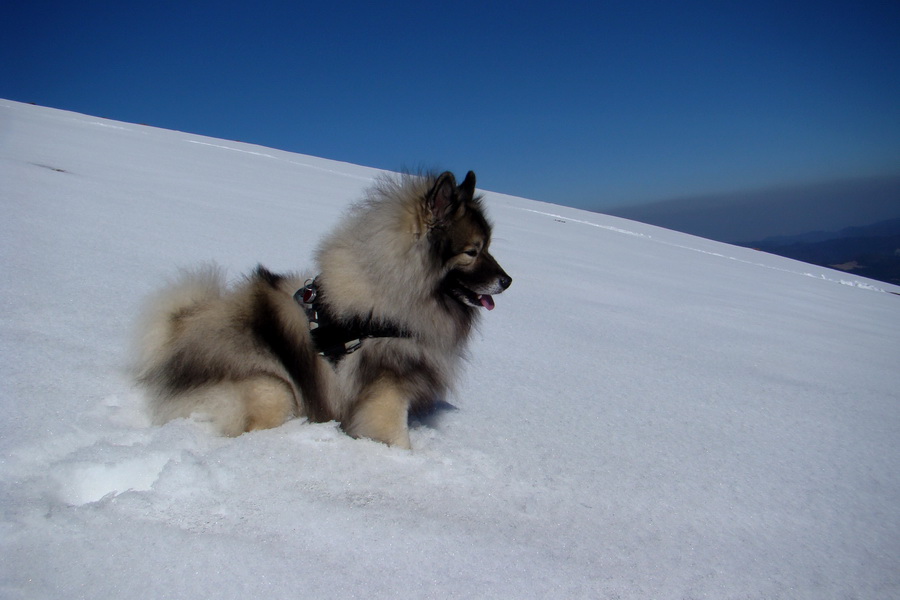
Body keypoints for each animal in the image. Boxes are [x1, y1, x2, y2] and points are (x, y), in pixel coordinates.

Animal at [134, 171, 512, 448]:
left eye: (488, 247)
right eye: (472, 251)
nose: (507, 281)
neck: (392, 291)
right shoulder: (385, 388)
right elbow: (395, 434)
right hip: (274, 391)